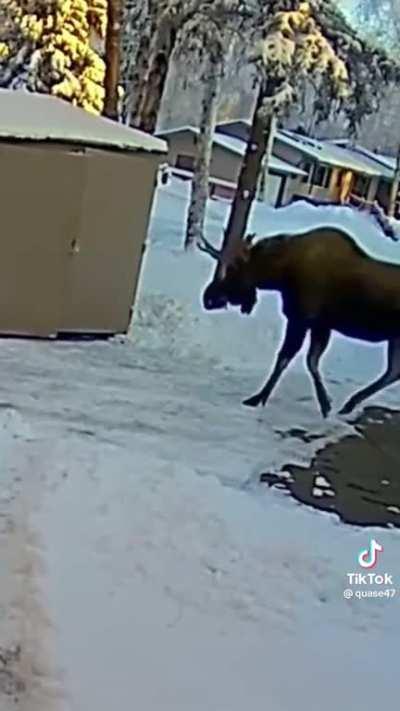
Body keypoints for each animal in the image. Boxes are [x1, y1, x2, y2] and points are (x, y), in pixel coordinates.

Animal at [198, 227, 400, 418]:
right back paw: (350, 404)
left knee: (392, 372)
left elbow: (290, 359)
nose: (208, 298)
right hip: (395, 339)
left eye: (233, 269)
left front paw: (258, 398)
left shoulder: (302, 319)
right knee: (393, 372)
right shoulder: (320, 325)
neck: (280, 274)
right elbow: (309, 361)